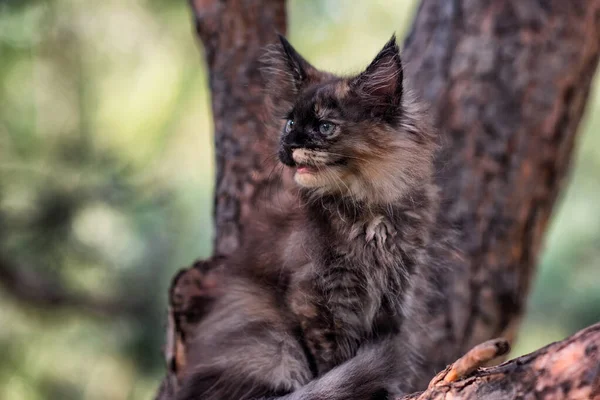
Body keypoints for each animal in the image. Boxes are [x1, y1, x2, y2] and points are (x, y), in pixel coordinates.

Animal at [173, 35, 450, 400]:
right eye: (290, 123)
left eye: (324, 127)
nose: (289, 145)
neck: (367, 207)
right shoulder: (317, 297)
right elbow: (337, 362)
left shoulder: (398, 288)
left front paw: (389, 390)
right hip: (268, 337)